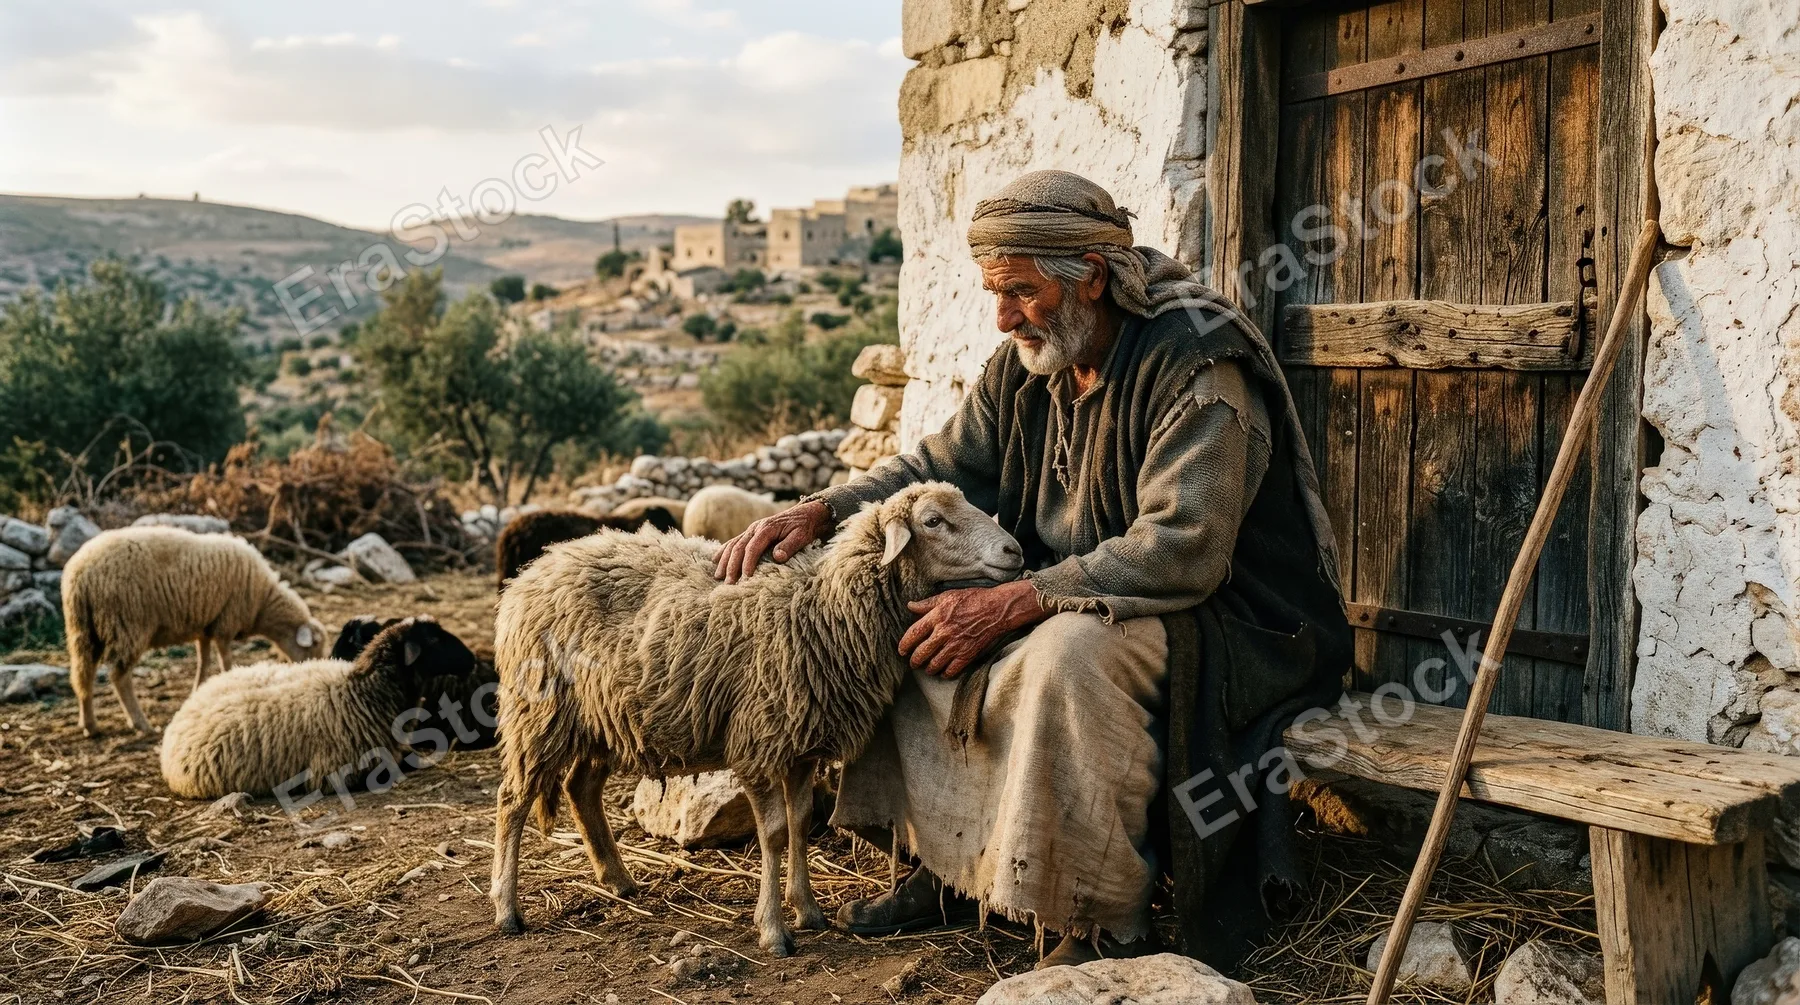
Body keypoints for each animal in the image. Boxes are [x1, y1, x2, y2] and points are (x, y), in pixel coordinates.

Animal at [61, 527, 328, 737]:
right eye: (314, 646)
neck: (263, 600)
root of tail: (81, 575)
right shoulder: (225, 623)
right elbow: (225, 659)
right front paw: (227, 680)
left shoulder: (205, 627)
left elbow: (203, 661)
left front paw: (198, 690)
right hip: (128, 624)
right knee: (119, 676)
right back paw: (141, 724)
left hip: (82, 630)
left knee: (82, 674)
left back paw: (89, 725)